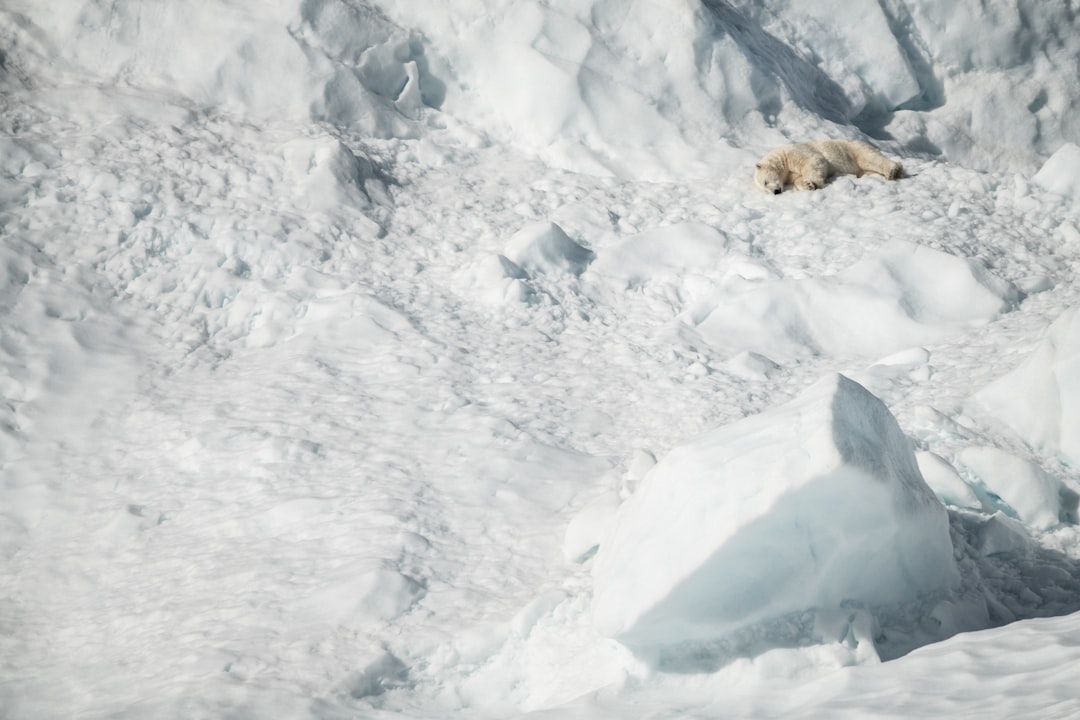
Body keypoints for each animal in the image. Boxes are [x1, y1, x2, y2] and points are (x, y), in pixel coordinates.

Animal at [760, 140, 902, 194]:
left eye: (765, 182)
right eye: (765, 189)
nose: (775, 192)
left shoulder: (794, 152)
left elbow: (813, 160)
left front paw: (816, 183)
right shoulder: (790, 174)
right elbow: (798, 179)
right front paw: (808, 185)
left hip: (853, 149)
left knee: (870, 158)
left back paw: (893, 170)